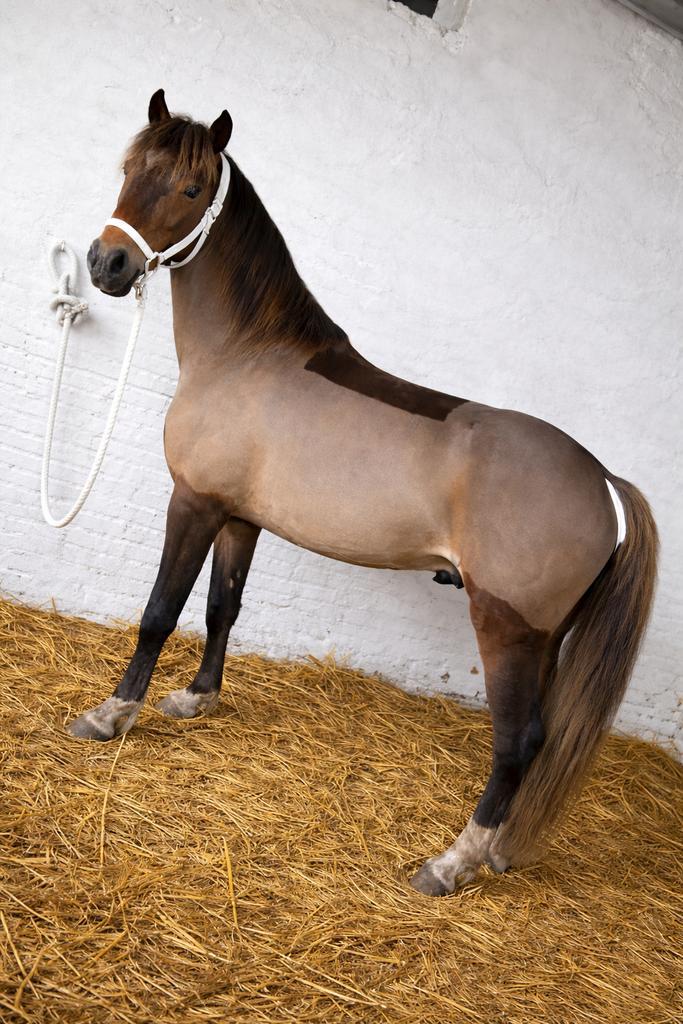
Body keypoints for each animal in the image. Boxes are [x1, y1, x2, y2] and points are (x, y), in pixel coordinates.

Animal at [72, 89, 658, 896]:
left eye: (191, 188)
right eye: (130, 169)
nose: (108, 263)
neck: (247, 356)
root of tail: (602, 479)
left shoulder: (193, 504)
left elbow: (160, 612)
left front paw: (113, 714)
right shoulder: (241, 519)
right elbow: (223, 608)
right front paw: (197, 698)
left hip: (506, 629)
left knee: (518, 740)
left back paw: (451, 862)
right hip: (544, 639)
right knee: (536, 745)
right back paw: (498, 850)